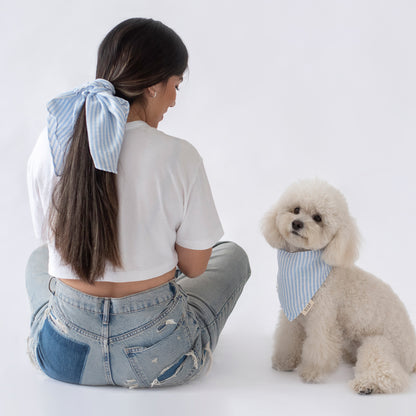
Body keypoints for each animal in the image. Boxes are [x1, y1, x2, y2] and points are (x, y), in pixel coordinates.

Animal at [262, 179, 416, 394]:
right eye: (296, 209)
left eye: (318, 218)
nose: (297, 223)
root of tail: (413, 357)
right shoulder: (292, 316)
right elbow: (288, 338)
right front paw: (284, 362)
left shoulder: (322, 317)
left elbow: (320, 347)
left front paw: (313, 373)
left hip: (380, 344)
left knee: (389, 373)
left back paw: (367, 385)